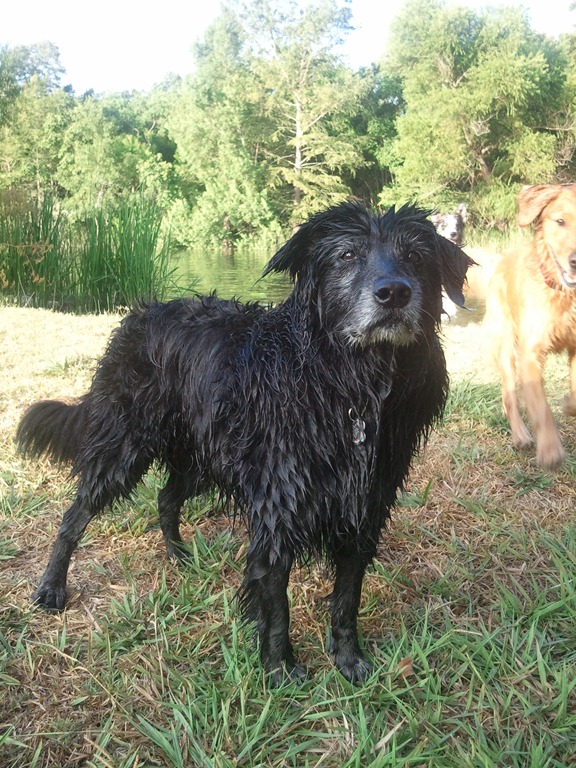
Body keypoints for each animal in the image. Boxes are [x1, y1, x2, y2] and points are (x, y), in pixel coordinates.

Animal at [16, 200, 472, 684]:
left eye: (417, 257)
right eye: (347, 255)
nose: (394, 293)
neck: (349, 388)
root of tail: (138, 317)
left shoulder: (364, 507)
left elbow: (347, 598)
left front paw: (349, 660)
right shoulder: (277, 508)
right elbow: (277, 605)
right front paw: (280, 669)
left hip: (201, 456)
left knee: (165, 497)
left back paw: (179, 556)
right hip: (124, 450)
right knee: (74, 515)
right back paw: (51, 588)